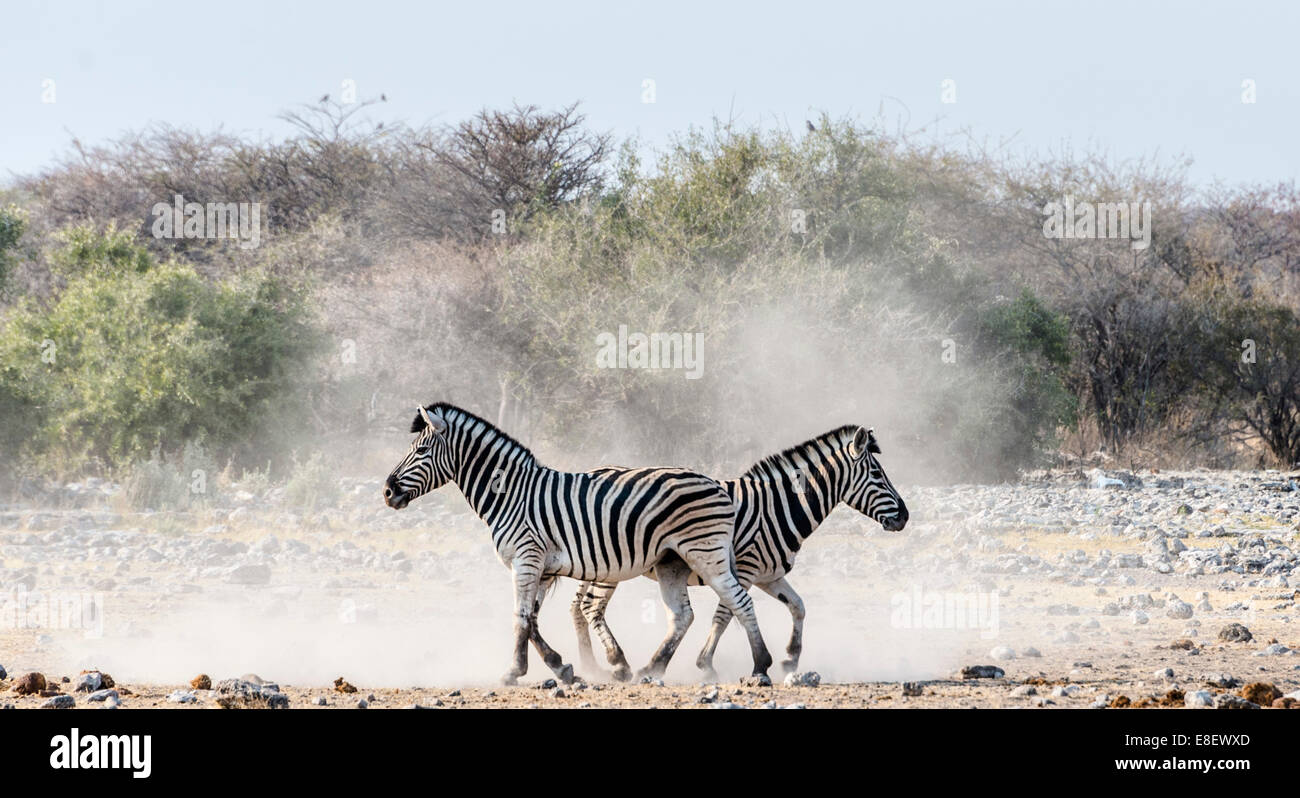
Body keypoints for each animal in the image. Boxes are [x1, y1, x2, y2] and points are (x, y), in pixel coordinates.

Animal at [379, 405, 774, 686]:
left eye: (421, 450)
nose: (386, 492)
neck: (511, 494)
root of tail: (716, 484)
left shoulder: (526, 559)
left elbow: (520, 617)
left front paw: (513, 672)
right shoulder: (539, 567)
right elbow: (532, 620)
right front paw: (561, 668)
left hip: (704, 551)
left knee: (739, 600)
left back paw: (761, 666)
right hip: (671, 561)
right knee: (682, 615)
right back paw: (650, 668)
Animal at [564, 426, 909, 681]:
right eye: (878, 475)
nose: (905, 517)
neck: (778, 507)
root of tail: (593, 469)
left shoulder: (769, 575)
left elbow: (798, 606)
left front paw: (790, 658)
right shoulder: (744, 569)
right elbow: (726, 614)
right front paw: (707, 664)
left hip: (593, 562)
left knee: (577, 606)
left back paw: (590, 665)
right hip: (610, 564)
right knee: (592, 606)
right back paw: (616, 663)